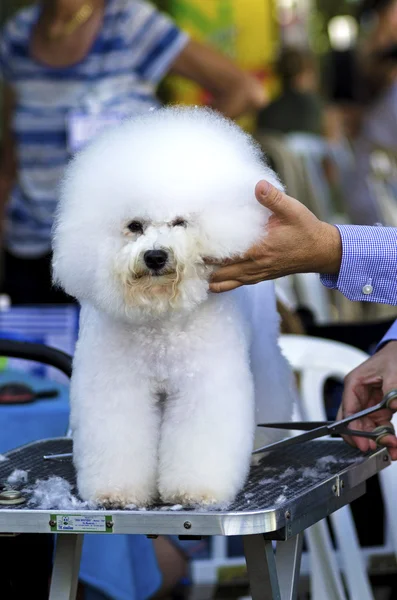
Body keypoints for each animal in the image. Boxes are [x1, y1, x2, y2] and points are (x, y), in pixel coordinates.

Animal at [52, 106, 294, 506]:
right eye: (134, 225)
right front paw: (116, 492)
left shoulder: (205, 383)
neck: (160, 316)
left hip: (262, 351)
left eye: (180, 222)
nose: (155, 256)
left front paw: (195, 491)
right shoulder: (117, 384)